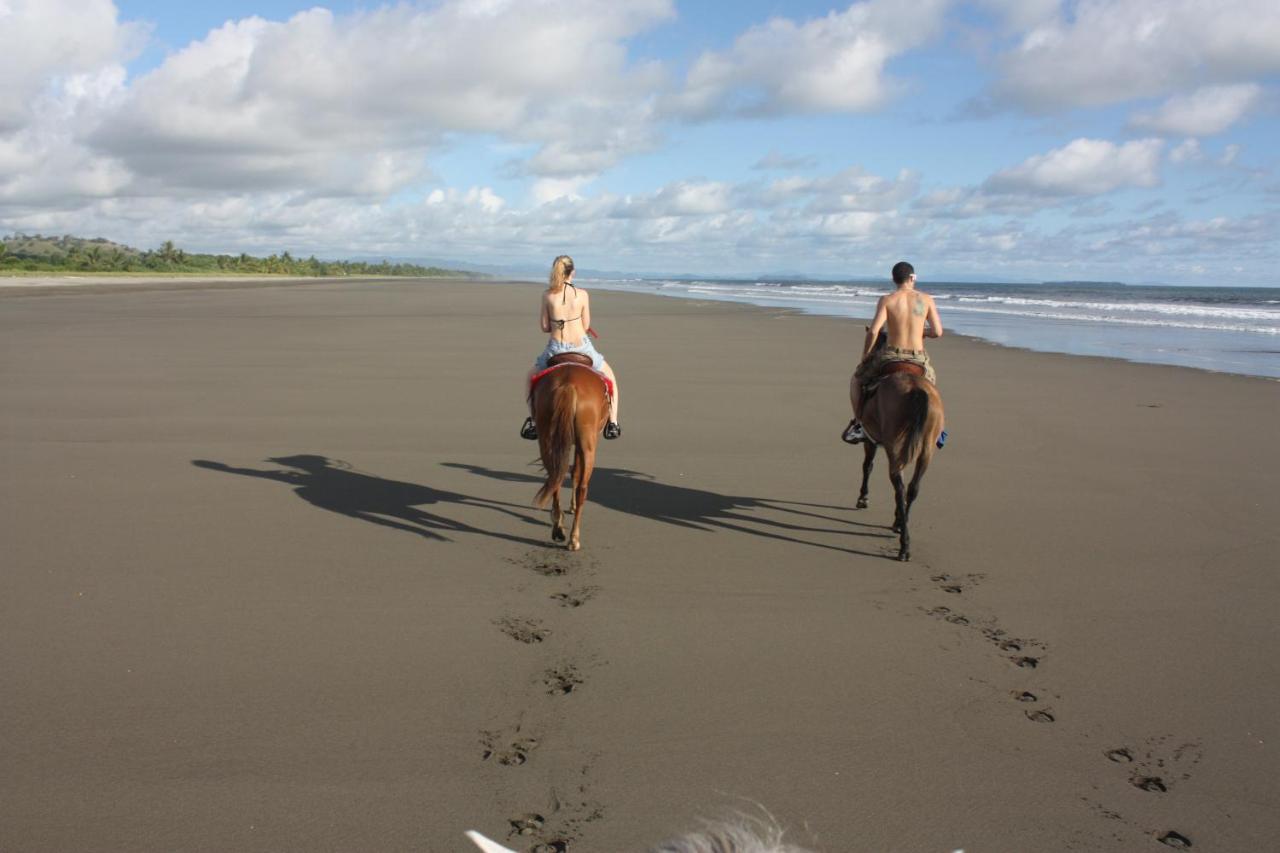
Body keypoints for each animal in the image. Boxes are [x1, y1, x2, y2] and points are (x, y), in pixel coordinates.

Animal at [529, 350, 609, 545]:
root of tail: (569, 385)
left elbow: (571, 472)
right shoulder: (583, 444)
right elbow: (576, 473)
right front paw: (572, 507)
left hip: (547, 440)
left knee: (555, 477)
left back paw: (558, 528)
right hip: (588, 445)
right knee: (582, 487)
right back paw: (574, 538)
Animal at [849, 361, 942, 560]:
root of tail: (917, 389)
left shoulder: (870, 437)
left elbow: (867, 465)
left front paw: (863, 498)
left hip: (894, 444)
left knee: (898, 486)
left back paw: (904, 546)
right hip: (926, 449)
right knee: (912, 488)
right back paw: (900, 525)